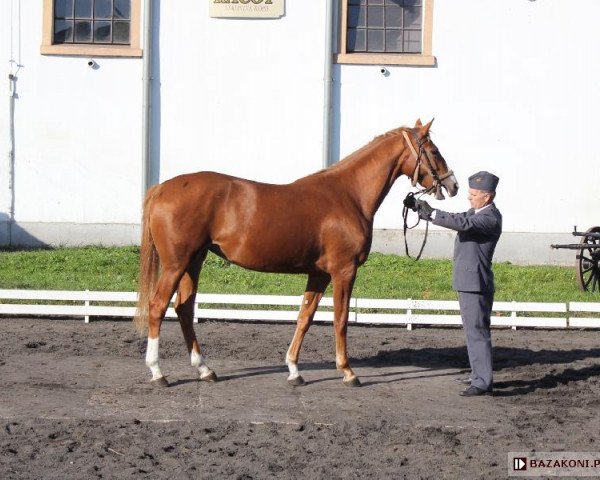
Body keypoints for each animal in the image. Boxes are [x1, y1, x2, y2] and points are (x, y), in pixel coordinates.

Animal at [134, 118, 458, 388]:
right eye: (434, 150)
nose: (452, 184)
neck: (348, 195)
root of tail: (162, 188)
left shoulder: (318, 274)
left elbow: (305, 317)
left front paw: (293, 370)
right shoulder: (344, 271)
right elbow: (340, 319)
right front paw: (348, 372)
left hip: (194, 262)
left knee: (184, 309)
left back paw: (204, 370)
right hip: (176, 264)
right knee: (158, 307)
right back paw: (158, 373)